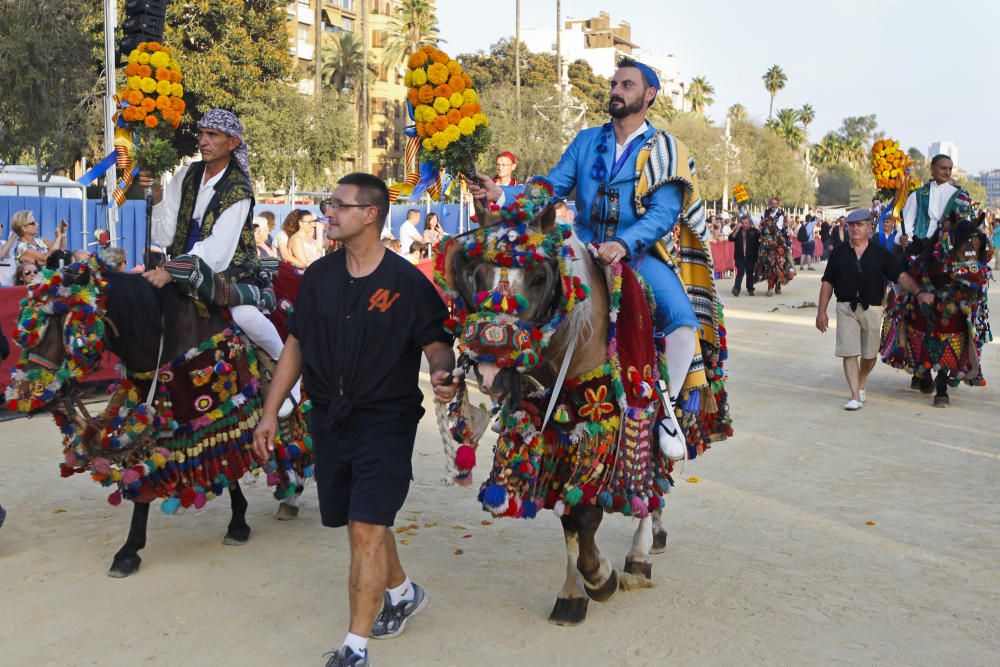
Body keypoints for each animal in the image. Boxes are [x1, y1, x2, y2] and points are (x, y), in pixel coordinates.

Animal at [4, 258, 312, 576]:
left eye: (63, 324)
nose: (24, 396)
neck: (169, 333)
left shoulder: (226, 410)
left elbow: (230, 465)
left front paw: (238, 525)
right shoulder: (156, 419)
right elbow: (146, 478)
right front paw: (128, 551)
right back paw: (292, 495)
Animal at [434, 179, 732, 628]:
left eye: (539, 276)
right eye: (478, 274)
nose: (488, 367)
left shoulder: (611, 426)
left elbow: (588, 513)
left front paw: (600, 577)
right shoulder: (554, 431)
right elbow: (568, 515)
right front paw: (573, 593)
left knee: (654, 477)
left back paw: (641, 552)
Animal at [884, 211, 992, 404]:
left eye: (981, 246)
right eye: (954, 248)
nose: (972, 290)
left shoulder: (954, 333)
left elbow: (944, 364)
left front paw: (941, 393)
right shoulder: (917, 329)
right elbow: (921, 355)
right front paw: (926, 382)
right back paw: (918, 380)